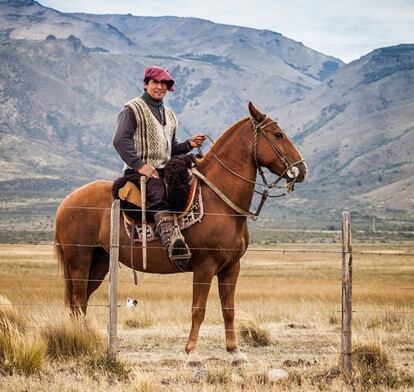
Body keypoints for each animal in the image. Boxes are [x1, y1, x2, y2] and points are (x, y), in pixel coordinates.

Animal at [55, 102, 306, 364]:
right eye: (278, 134)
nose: (301, 169)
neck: (220, 200)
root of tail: (66, 202)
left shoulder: (231, 267)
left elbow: (229, 309)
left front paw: (235, 351)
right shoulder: (205, 266)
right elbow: (199, 309)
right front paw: (192, 352)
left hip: (99, 263)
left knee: (81, 302)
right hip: (79, 262)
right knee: (77, 301)